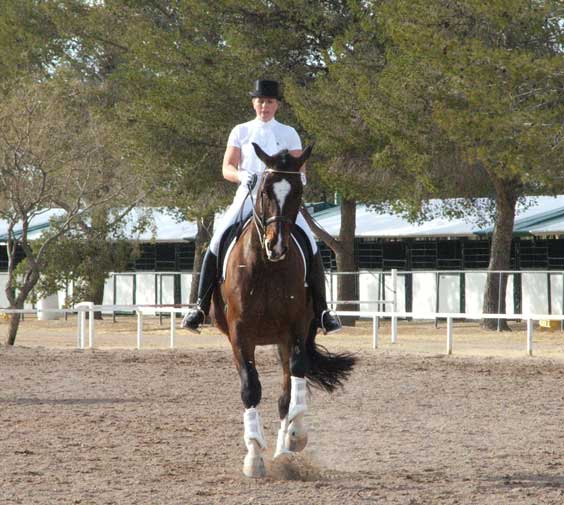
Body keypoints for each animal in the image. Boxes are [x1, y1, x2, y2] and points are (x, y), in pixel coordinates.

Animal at [209, 141, 354, 476]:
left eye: (299, 192)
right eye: (264, 190)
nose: (276, 245)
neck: (266, 267)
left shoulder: (295, 328)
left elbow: (294, 381)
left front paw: (295, 436)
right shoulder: (240, 335)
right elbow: (250, 388)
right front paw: (253, 457)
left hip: (283, 339)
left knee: (285, 392)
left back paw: (284, 452)